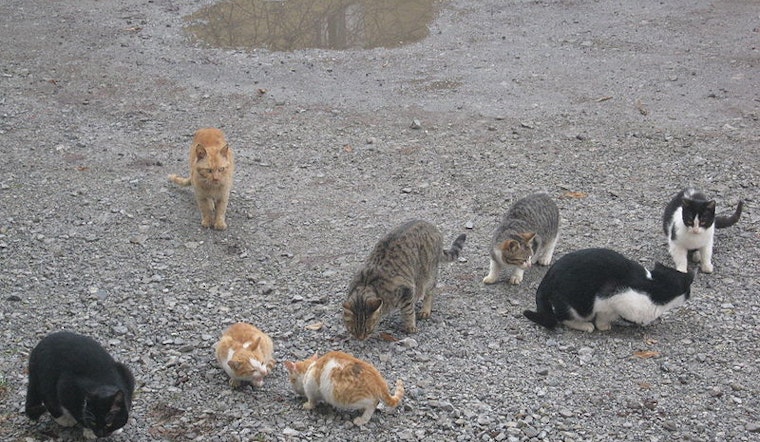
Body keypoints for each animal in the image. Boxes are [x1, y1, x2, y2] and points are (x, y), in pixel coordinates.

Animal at [524, 249, 696, 332]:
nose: (690, 295)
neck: (653, 285)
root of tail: (548, 277)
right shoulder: (611, 298)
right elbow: (604, 316)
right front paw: (603, 326)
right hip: (576, 304)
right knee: (562, 317)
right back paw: (585, 326)